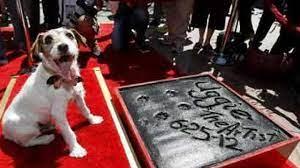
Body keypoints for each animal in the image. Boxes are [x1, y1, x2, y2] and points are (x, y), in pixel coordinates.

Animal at [1, 27, 103, 158]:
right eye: (48, 39)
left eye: (69, 35)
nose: (63, 46)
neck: (63, 79)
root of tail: (5, 133)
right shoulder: (58, 112)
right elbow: (69, 132)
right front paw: (76, 149)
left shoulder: (78, 97)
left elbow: (85, 110)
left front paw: (93, 120)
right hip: (29, 128)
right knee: (26, 143)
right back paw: (46, 138)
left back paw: (48, 127)